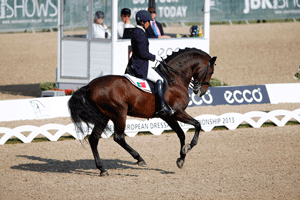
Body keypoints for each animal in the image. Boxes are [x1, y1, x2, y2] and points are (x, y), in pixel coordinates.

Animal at [69, 48, 217, 177]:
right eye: (211, 71)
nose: (201, 92)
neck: (175, 79)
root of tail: (89, 86)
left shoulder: (169, 117)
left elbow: (181, 134)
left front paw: (181, 159)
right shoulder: (177, 113)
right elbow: (197, 125)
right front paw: (188, 148)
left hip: (104, 116)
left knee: (94, 139)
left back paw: (102, 169)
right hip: (119, 113)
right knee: (119, 137)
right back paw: (139, 159)